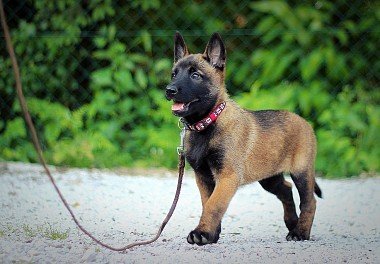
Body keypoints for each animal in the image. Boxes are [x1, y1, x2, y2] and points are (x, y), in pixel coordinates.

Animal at [165, 32, 322, 245]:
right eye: (174, 74)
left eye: (195, 75)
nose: (169, 90)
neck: (207, 123)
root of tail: (303, 121)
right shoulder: (203, 177)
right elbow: (208, 203)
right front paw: (211, 234)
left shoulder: (227, 176)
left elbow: (214, 204)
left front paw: (202, 233)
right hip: (269, 178)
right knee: (286, 190)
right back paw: (292, 223)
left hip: (301, 172)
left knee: (309, 201)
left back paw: (300, 232)